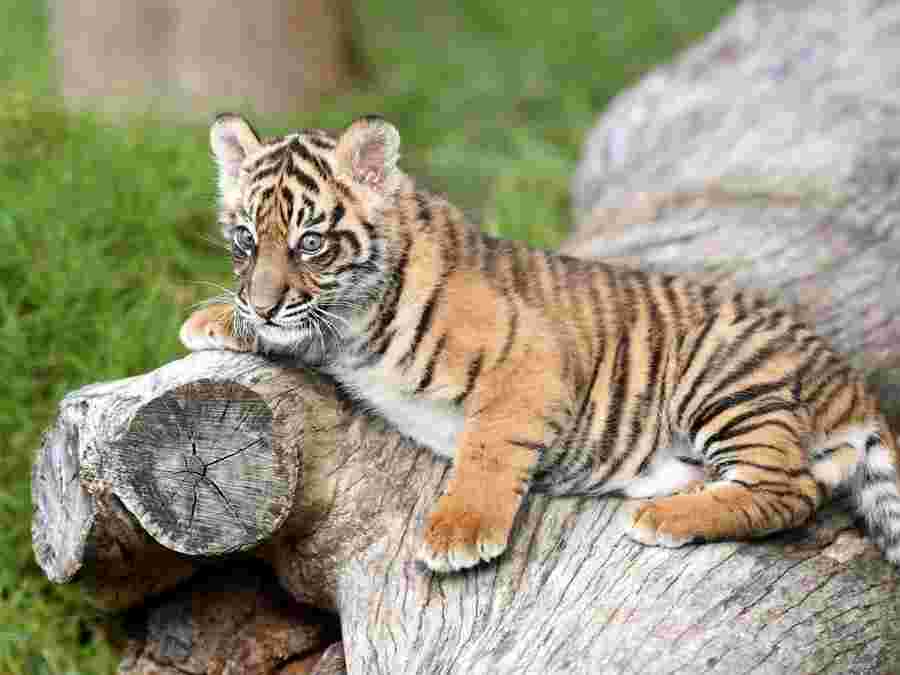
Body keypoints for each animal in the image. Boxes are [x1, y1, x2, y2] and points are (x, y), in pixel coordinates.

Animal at [181, 113, 900, 573]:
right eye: (245, 239)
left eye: (311, 242)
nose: (260, 303)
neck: (353, 324)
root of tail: (852, 383)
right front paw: (219, 318)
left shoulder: (530, 359)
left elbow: (489, 445)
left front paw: (460, 531)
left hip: (726, 382)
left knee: (790, 490)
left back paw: (667, 519)